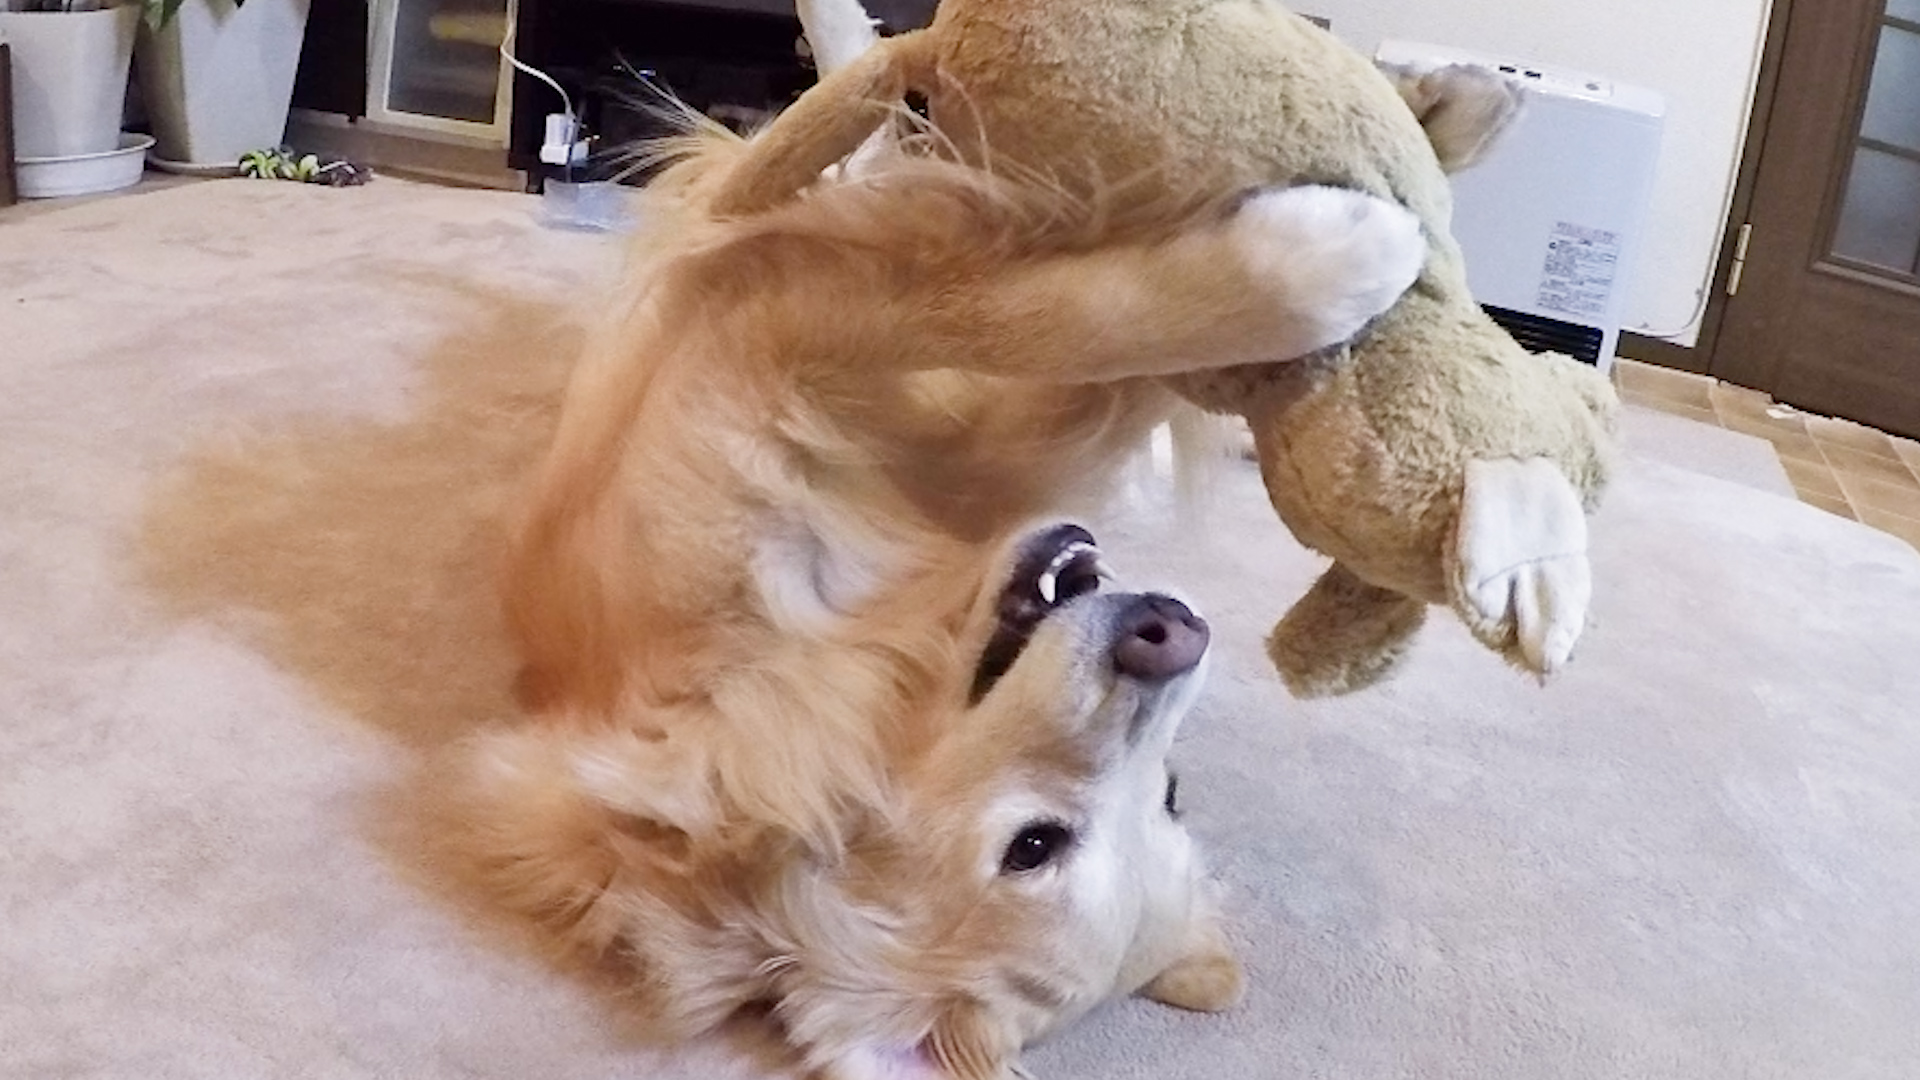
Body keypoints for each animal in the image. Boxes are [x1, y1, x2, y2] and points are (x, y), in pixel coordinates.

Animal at [435, 71, 1428, 1076]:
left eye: (1172, 792)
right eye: (1035, 845)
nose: (1176, 633)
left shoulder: (959, 431)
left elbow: (1070, 349)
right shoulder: (778, 345)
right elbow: (1042, 318)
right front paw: (1339, 252)